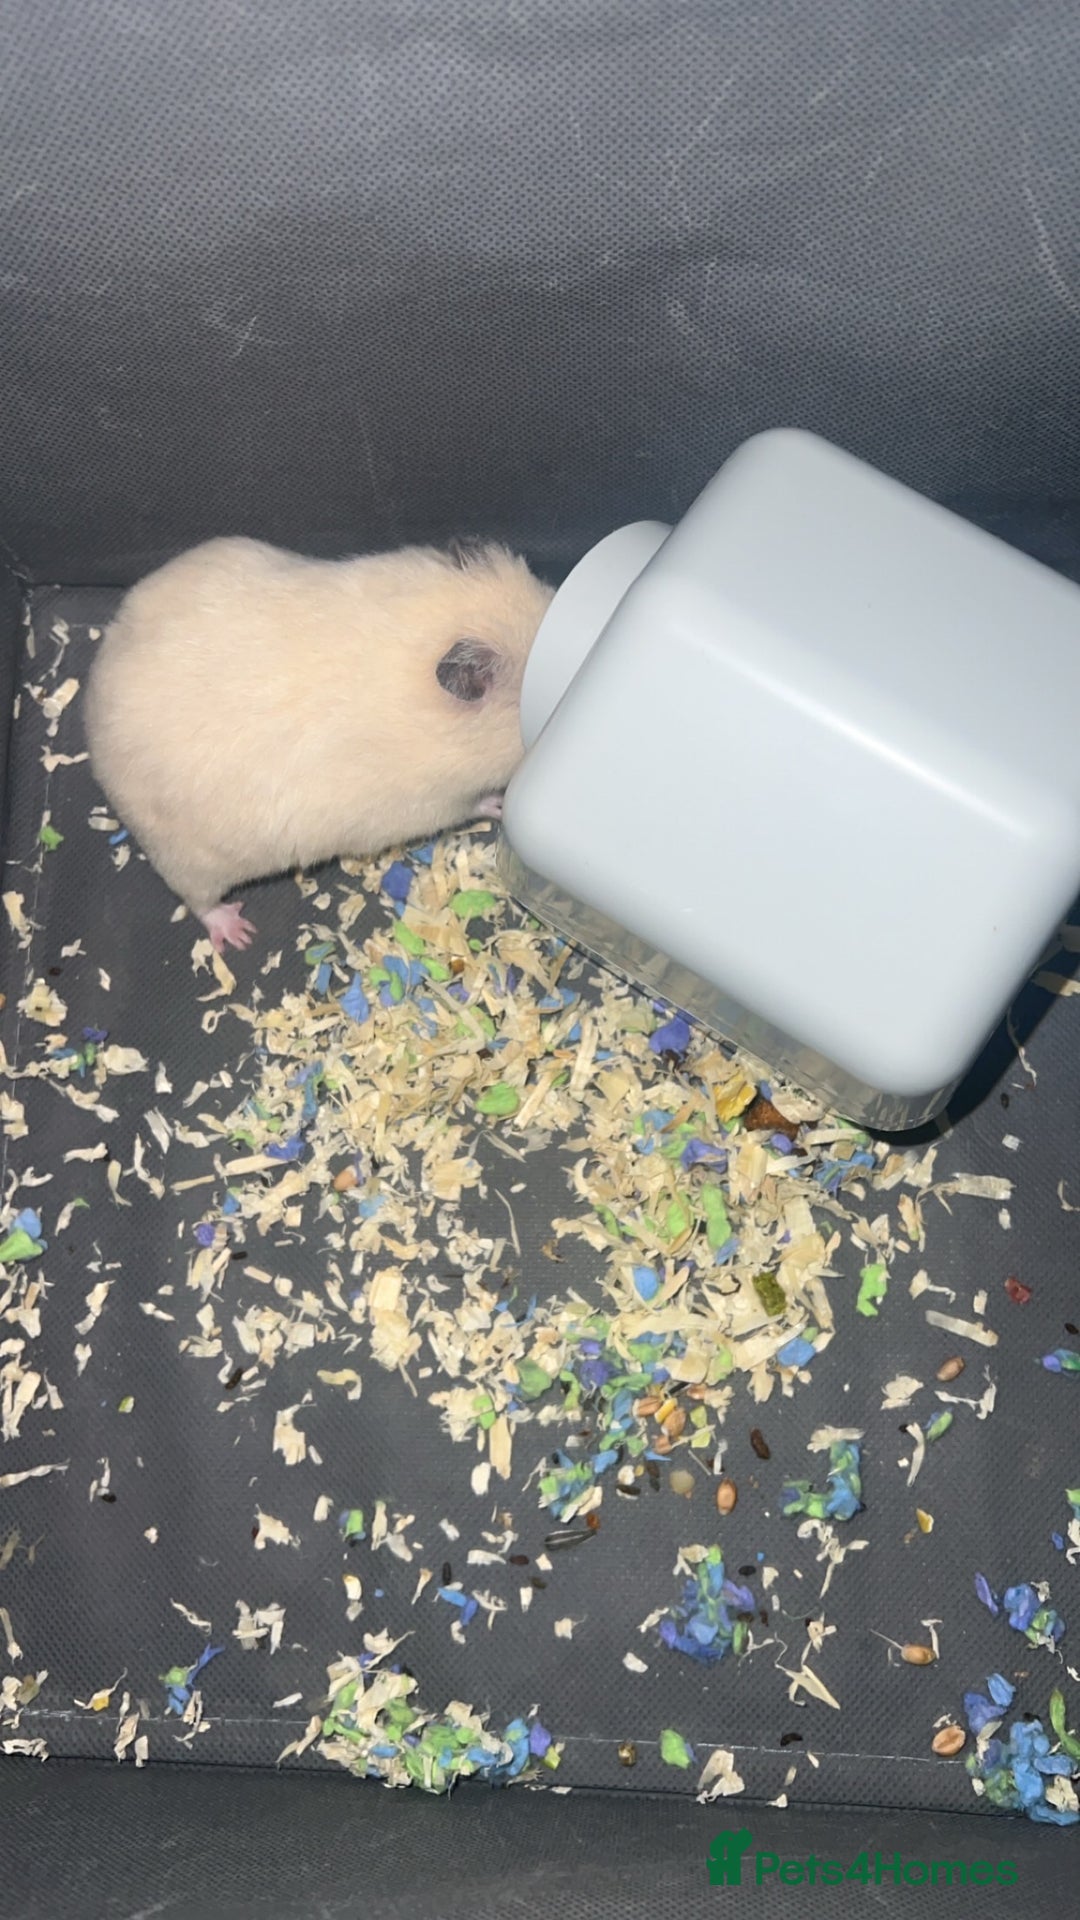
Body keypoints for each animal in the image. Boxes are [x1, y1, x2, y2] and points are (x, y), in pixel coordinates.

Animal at [84, 535, 553, 951]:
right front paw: (499, 803)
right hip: (192, 859)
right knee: (198, 901)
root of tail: (93, 708)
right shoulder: (434, 803)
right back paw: (237, 932)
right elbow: (477, 803)